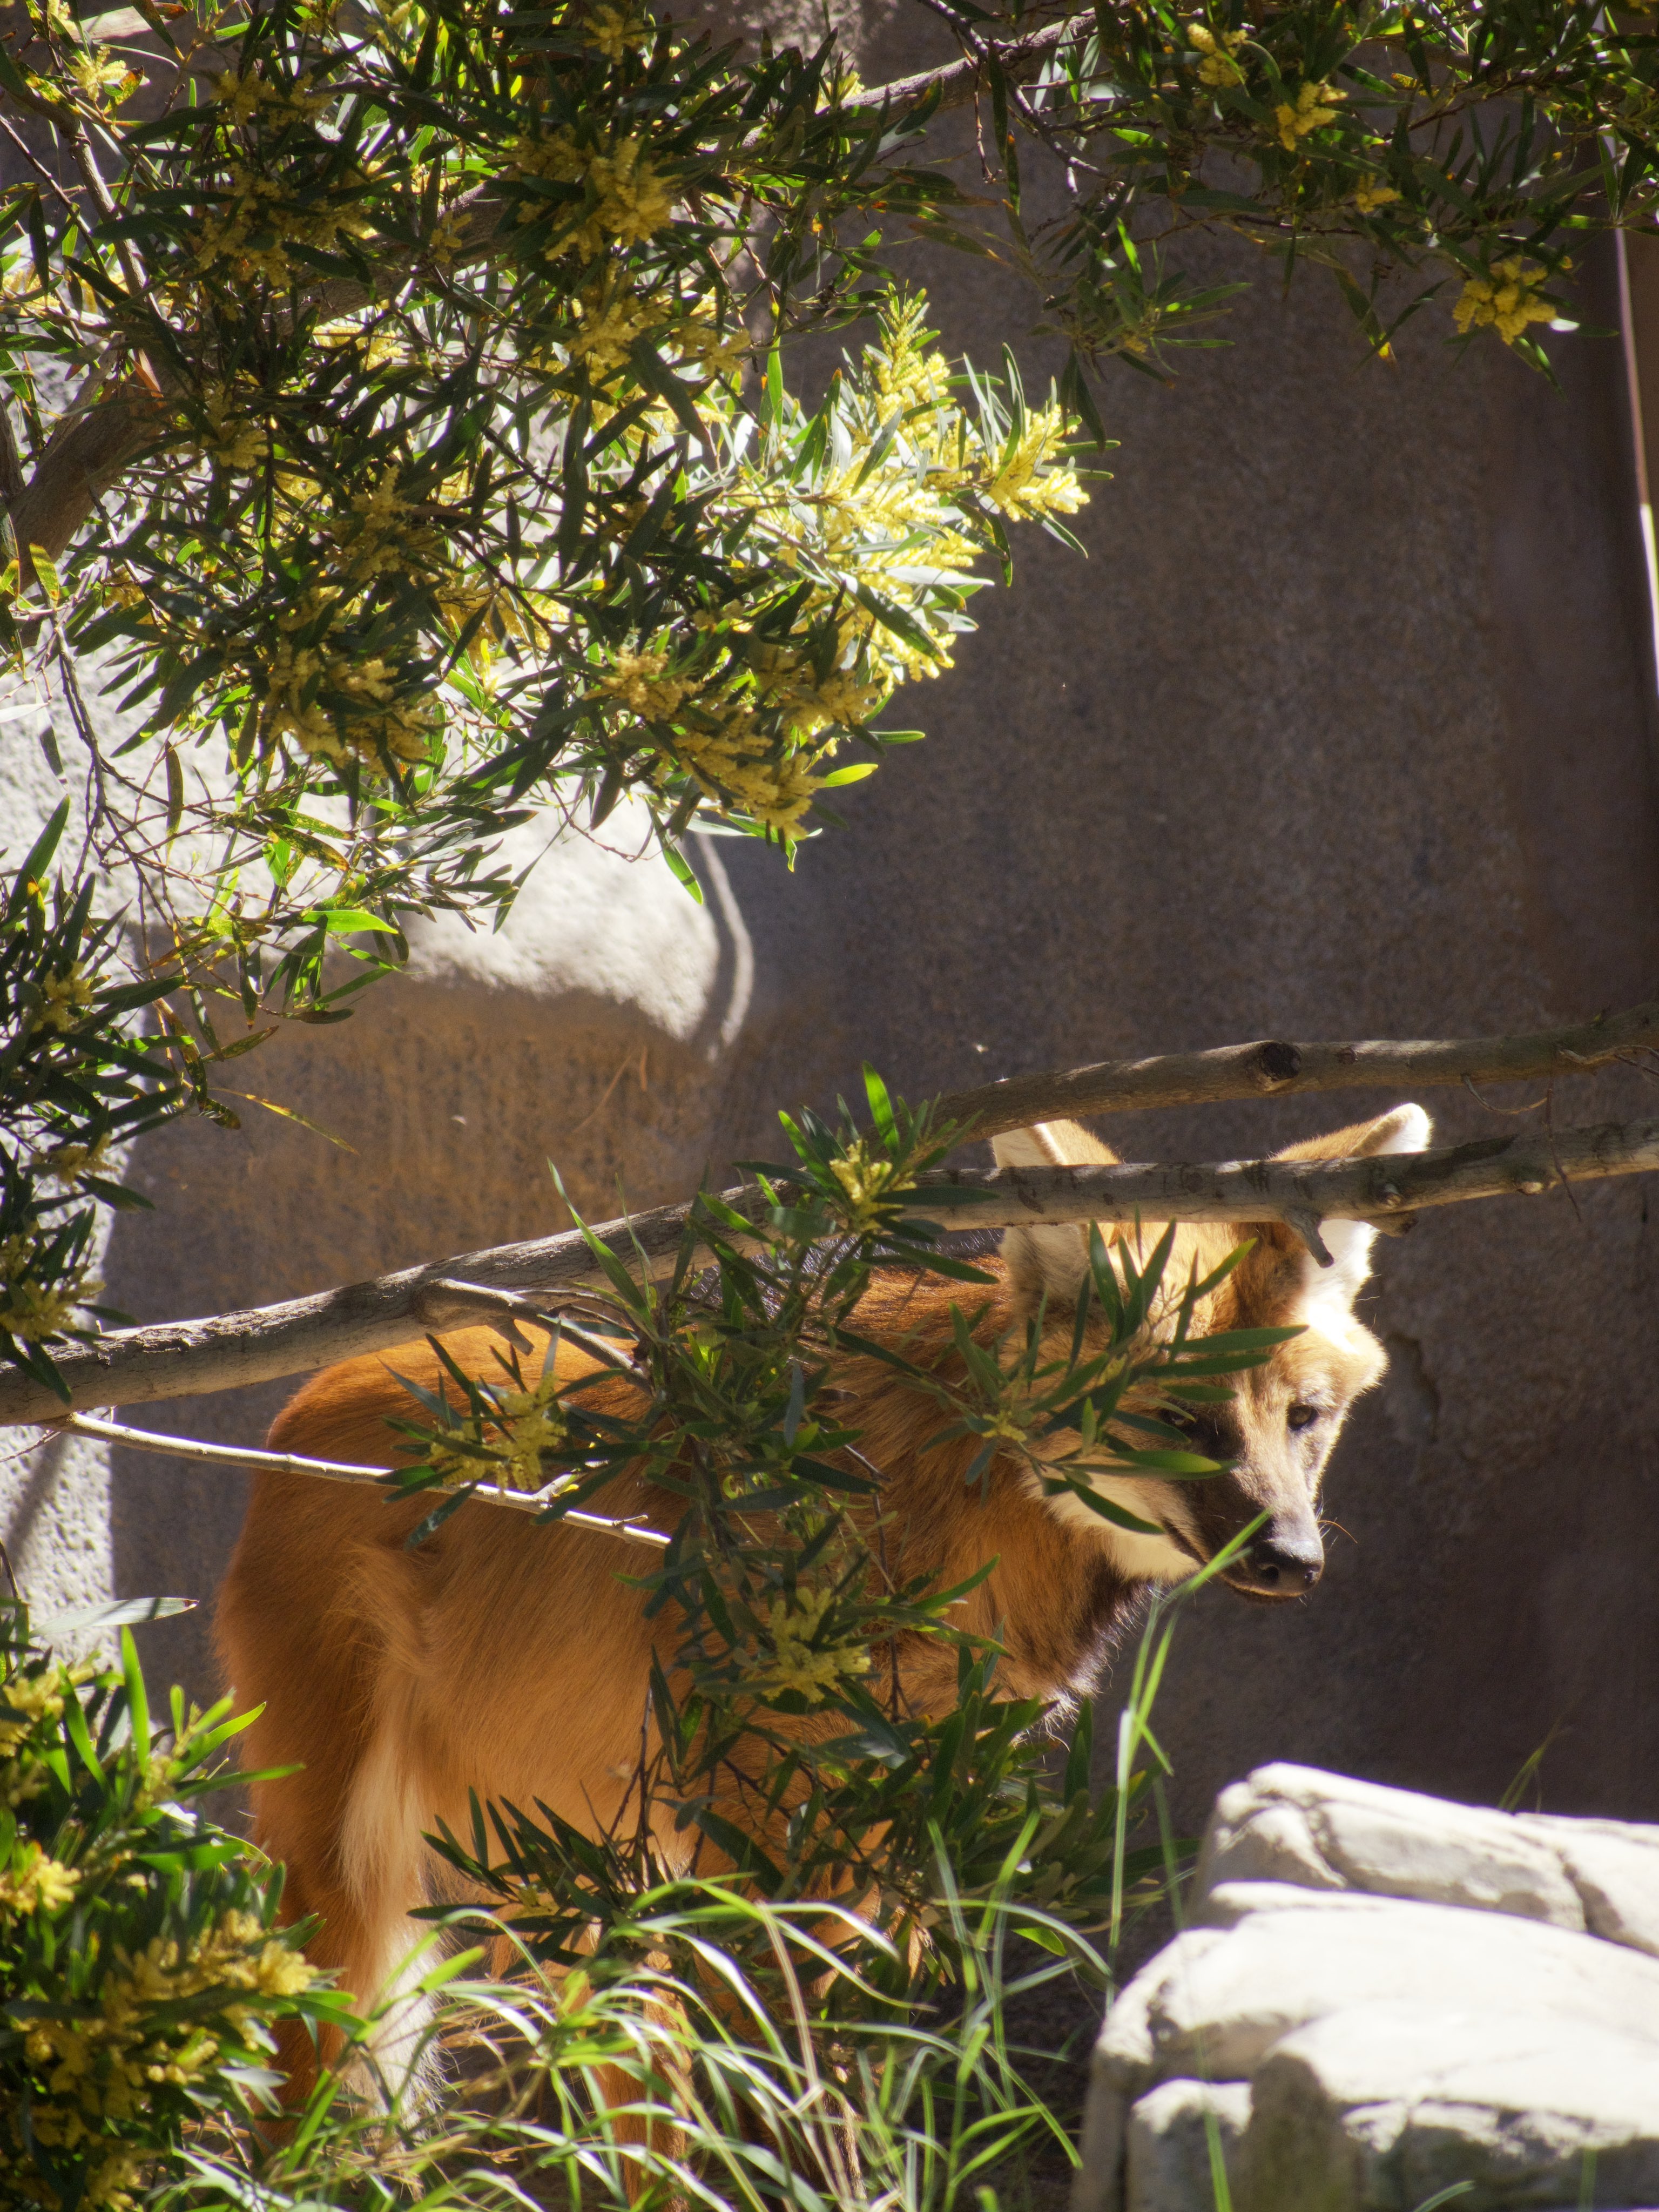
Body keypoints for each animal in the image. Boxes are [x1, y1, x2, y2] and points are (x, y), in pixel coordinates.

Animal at [215, 1102, 1429, 2080]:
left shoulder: (893, 1797)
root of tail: (297, 1406)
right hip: (365, 1847)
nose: (1292, 1560)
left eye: (1304, 1419)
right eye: (1184, 1423)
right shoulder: (769, 1812)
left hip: (577, 1847)